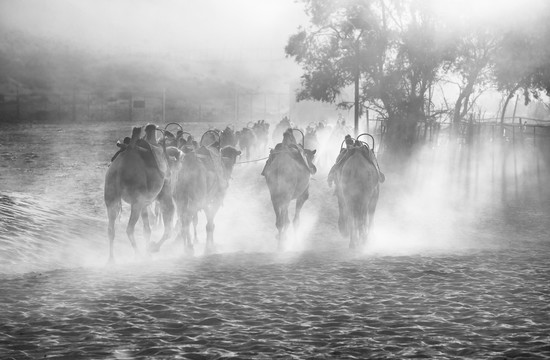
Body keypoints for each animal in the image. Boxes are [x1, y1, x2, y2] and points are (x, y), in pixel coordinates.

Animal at [104, 125, 176, 262]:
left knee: (111, 229)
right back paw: (138, 255)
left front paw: (149, 251)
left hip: (111, 197)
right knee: (129, 229)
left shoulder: (145, 203)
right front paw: (153, 248)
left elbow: (147, 230)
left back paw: (111, 260)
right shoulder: (165, 193)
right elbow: (168, 230)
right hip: (136, 201)